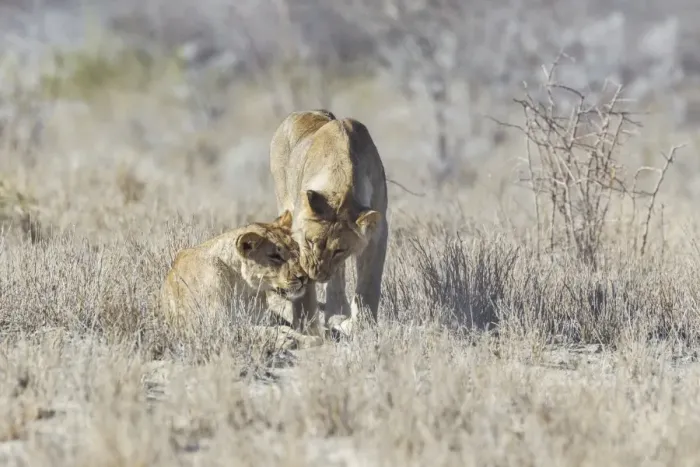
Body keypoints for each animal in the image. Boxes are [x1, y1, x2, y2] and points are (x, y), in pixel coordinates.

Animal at [159, 210, 323, 349]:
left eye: (296, 249)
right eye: (275, 256)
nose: (304, 278)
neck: (241, 286)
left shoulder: (260, 318)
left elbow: (283, 328)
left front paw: (308, 338)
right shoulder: (212, 325)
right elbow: (251, 329)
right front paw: (282, 341)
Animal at [269, 109, 388, 336]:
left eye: (339, 250)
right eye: (309, 241)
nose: (316, 274)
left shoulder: (378, 232)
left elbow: (369, 283)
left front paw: (364, 324)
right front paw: (312, 324)